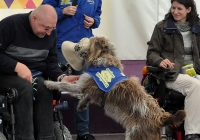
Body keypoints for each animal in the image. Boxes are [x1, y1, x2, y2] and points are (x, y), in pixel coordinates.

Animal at [44, 36, 186, 140]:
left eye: (89, 40)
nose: (79, 42)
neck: (102, 56)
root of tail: (161, 118)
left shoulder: (81, 86)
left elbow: (64, 85)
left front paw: (49, 83)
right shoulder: (91, 89)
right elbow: (87, 96)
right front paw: (82, 104)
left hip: (135, 135)